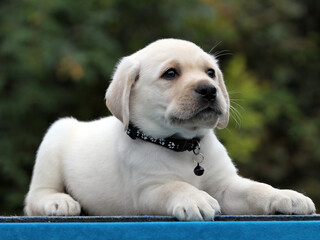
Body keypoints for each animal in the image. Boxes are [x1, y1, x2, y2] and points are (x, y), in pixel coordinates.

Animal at [24, 38, 316, 220]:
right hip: (54, 139)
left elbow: (256, 188)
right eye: (171, 73)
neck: (183, 146)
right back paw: (59, 201)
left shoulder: (225, 185)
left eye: (210, 73)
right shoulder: (147, 191)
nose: (209, 90)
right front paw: (195, 199)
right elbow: (175, 187)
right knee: (34, 197)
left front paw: (286, 196)